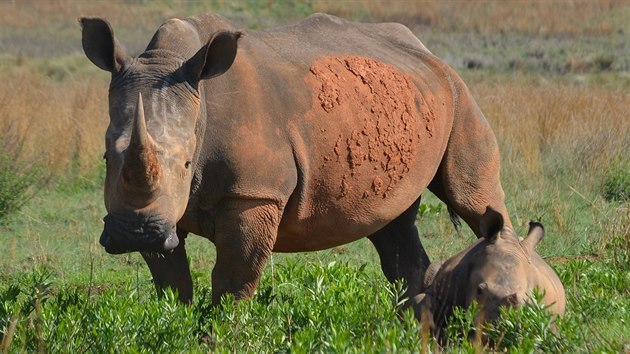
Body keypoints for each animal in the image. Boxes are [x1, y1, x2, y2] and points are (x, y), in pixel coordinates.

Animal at [80, 13, 520, 306]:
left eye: (188, 164)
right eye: (105, 157)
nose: (134, 234)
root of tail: (429, 53)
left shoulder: (255, 193)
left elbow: (233, 279)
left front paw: (219, 333)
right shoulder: (160, 212)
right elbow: (172, 281)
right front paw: (178, 323)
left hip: (461, 95)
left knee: (474, 198)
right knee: (391, 227)